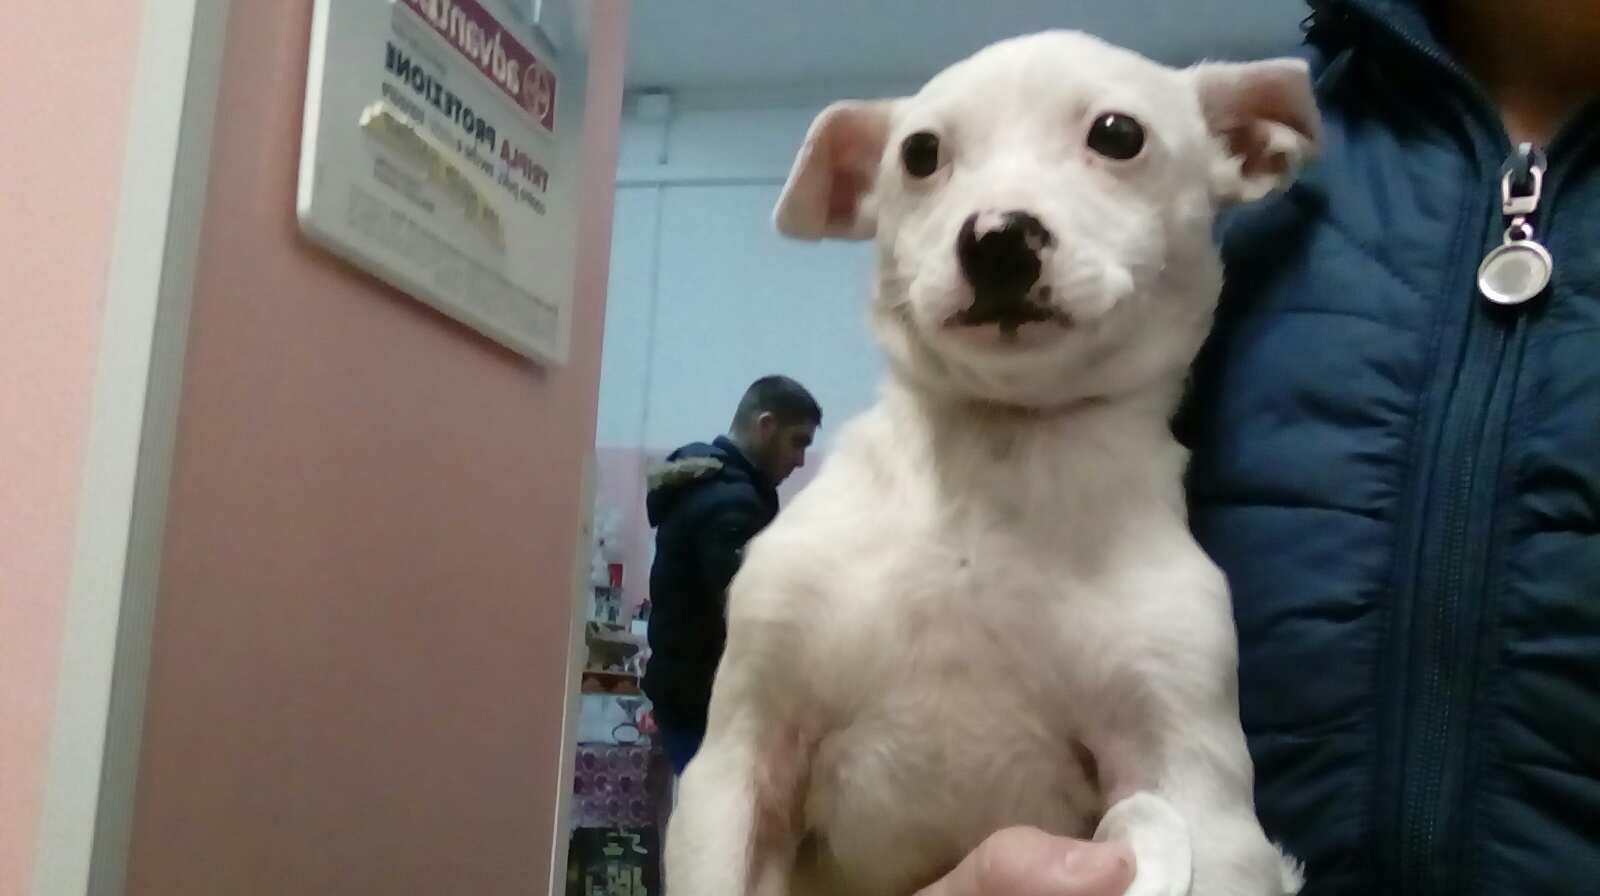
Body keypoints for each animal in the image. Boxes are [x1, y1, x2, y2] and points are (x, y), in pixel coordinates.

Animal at [664, 30, 1320, 896]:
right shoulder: (738, 762)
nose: (999, 237)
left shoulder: (1195, 791)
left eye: (1119, 134)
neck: (994, 463)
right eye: (919, 152)